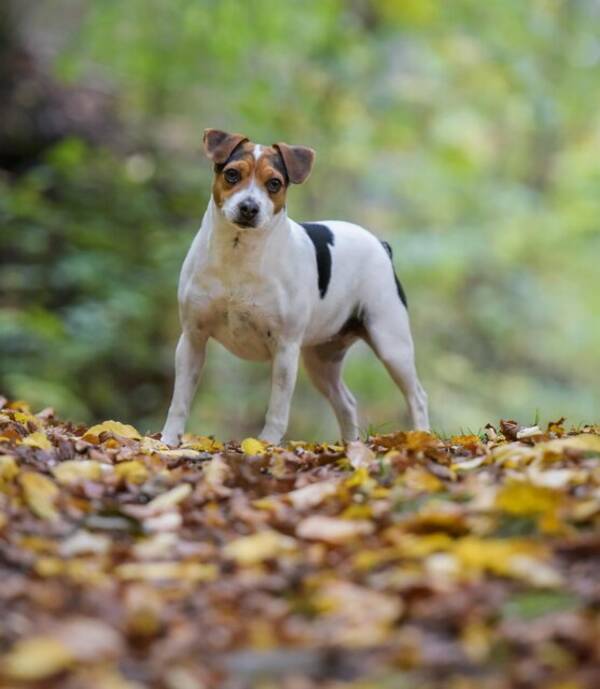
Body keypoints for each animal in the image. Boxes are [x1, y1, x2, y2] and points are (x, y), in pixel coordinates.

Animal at [162, 127, 428, 446]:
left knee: (417, 396)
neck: (239, 256)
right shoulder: (193, 339)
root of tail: (380, 244)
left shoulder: (285, 348)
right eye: (232, 175)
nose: (249, 207)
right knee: (346, 402)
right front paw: (168, 441)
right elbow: (180, 400)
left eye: (274, 183)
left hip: (391, 344)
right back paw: (351, 445)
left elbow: (278, 407)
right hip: (322, 361)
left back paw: (422, 436)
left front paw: (266, 444)